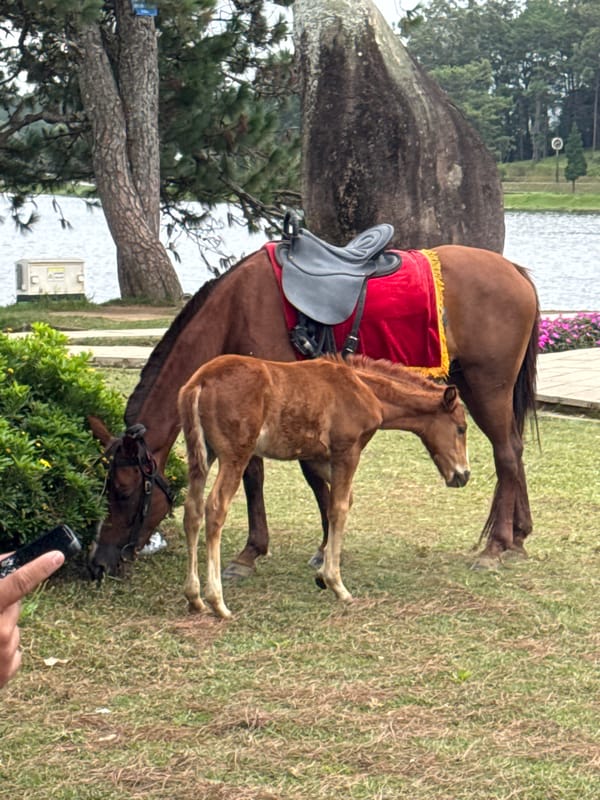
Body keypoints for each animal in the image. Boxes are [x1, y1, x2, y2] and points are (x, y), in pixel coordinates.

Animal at [87, 241, 539, 581]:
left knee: (505, 454)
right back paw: (518, 536)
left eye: (123, 490)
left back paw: (496, 545)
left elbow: (274, 474)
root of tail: (515, 271)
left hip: (487, 386)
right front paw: (312, 545)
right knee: (515, 451)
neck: (236, 309)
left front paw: (261, 551)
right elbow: (287, 474)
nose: (99, 563)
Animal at [177, 353, 469, 618]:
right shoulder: (347, 452)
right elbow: (339, 507)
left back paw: (194, 598)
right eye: (461, 428)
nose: (463, 475)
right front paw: (336, 584)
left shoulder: (318, 458)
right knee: (215, 508)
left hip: (202, 457)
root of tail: (200, 381)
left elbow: (342, 500)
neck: (365, 390)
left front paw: (321, 571)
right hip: (235, 456)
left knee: (192, 510)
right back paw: (218, 602)